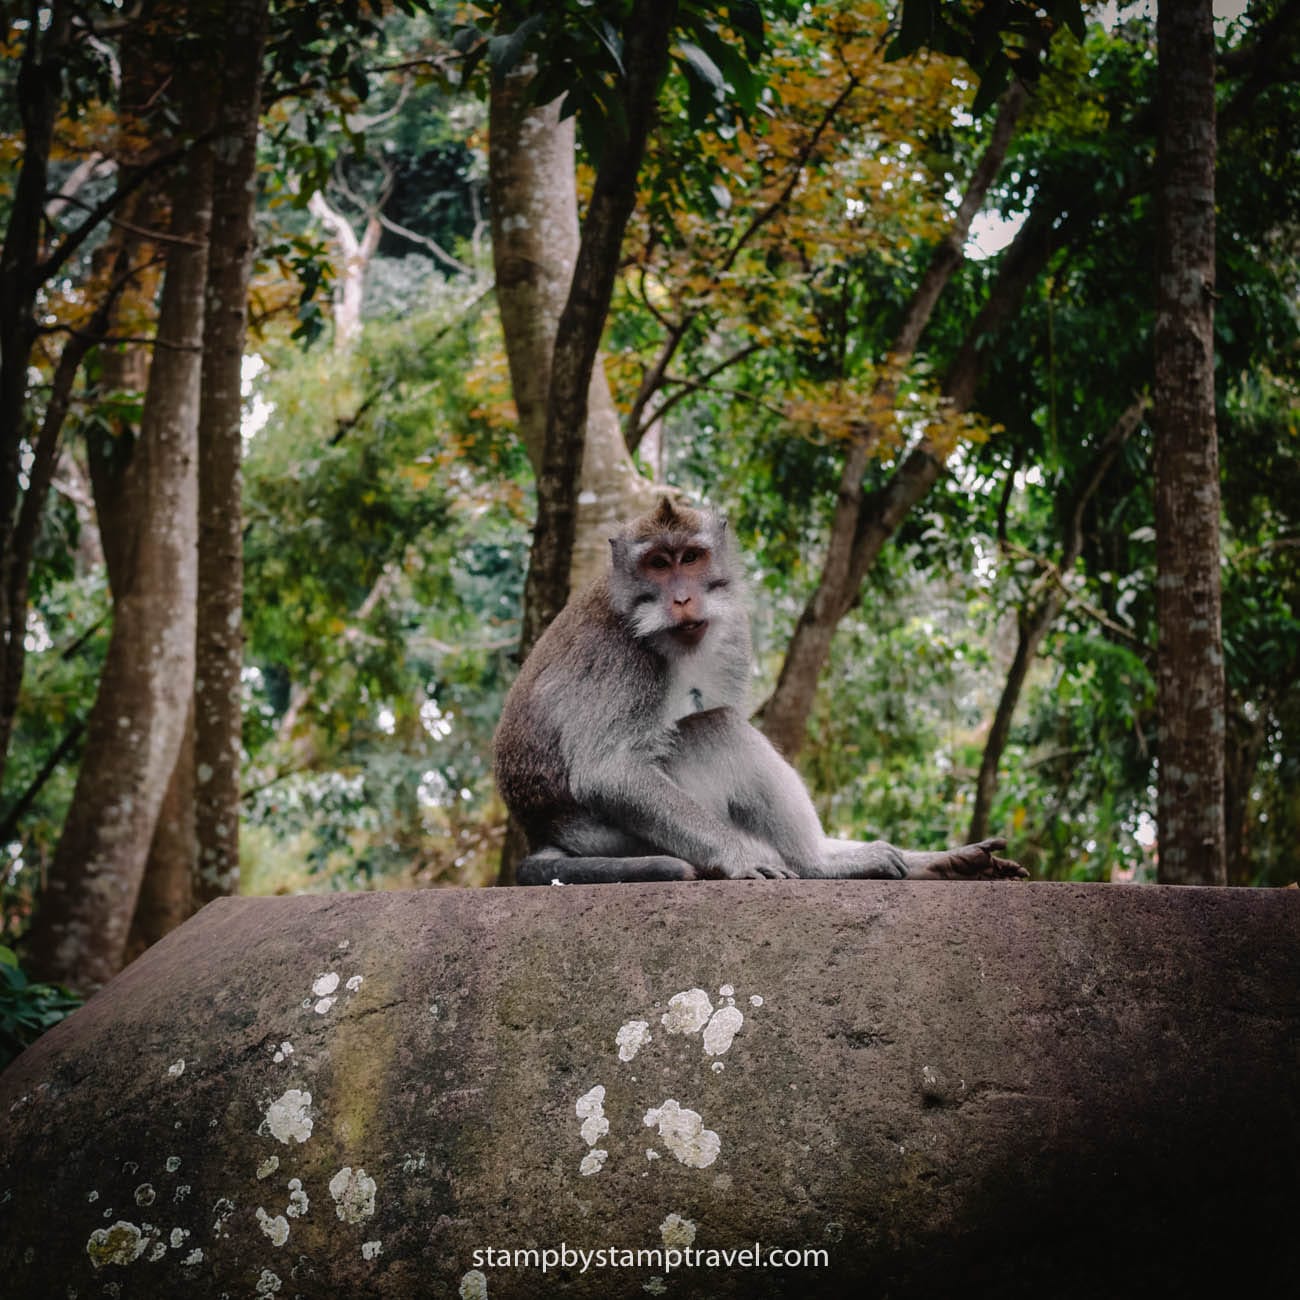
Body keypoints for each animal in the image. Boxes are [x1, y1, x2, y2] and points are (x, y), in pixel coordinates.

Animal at [494, 497, 1027, 886]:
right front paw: (738, 856)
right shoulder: (622, 656)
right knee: (719, 729)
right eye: (658, 564)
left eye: (691, 557)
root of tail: (545, 834)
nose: (682, 598)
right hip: (620, 839)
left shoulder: (732, 630)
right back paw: (819, 865)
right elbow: (609, 772)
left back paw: (920, 861)